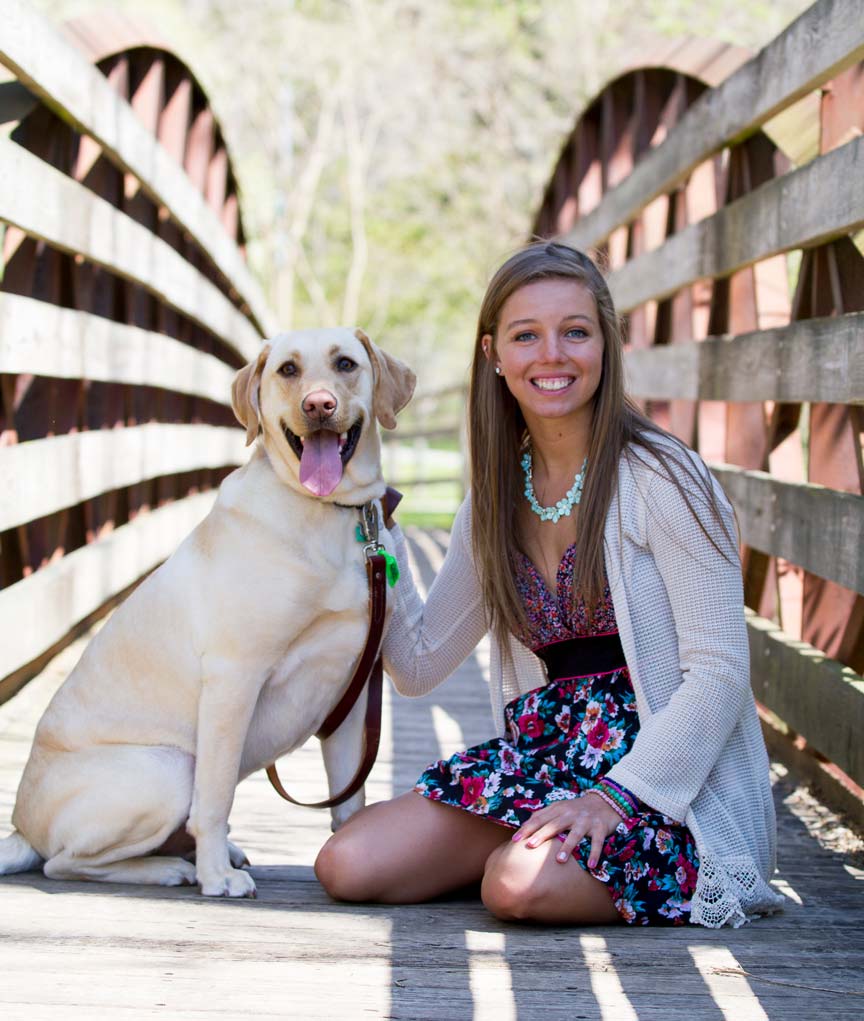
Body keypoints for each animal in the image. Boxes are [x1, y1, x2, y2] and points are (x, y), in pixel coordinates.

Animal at [0, 330, 416, 898]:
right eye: (288, 370)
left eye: (346, 364)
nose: (318, 405)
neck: (330, 514)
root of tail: (21, 826)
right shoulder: (233, 678)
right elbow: (216, 796)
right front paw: (217, 876)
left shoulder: (350, 696)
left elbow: (352, 797)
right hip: (168, 767)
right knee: (61, 864)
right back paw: (176, 868)